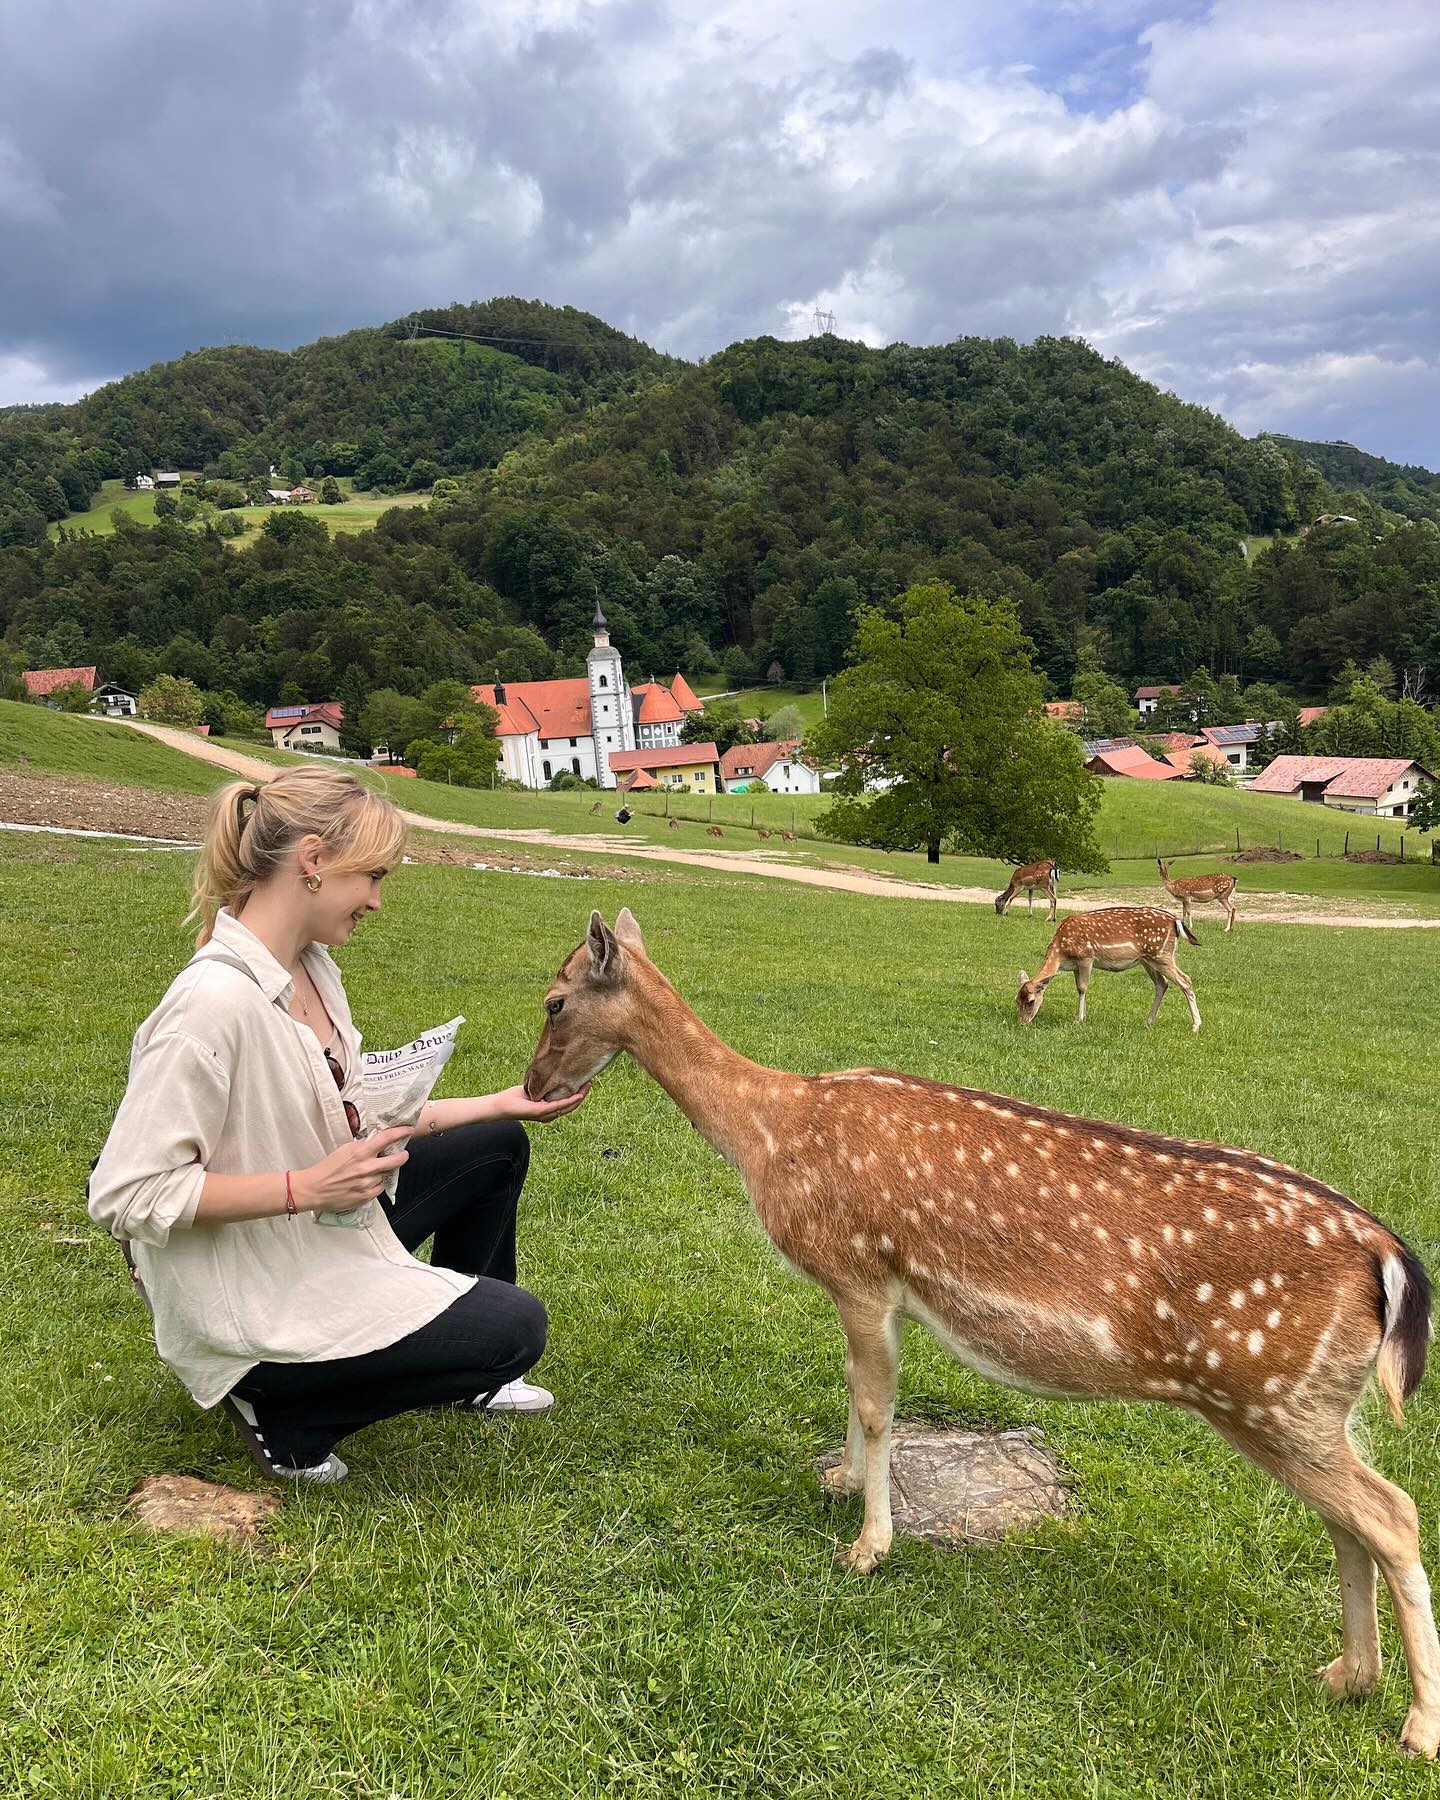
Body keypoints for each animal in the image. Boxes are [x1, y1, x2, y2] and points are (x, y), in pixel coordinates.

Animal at [1022, 907, 1202, 1036]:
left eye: (1031, 1001)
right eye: (1017, 1000)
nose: (1022, 1022)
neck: (1060, 954)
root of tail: (1176, 921)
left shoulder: (1086, 957)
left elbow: (1082, 988)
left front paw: (1079, 1020)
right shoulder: (1075, 966)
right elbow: (1080, 988)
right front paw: (1084, 1016)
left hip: (1161, 955)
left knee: (1185, 980)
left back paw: (1196, 1026)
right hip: (1148, 959)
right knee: (1162, 984)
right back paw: (1149, 1021)